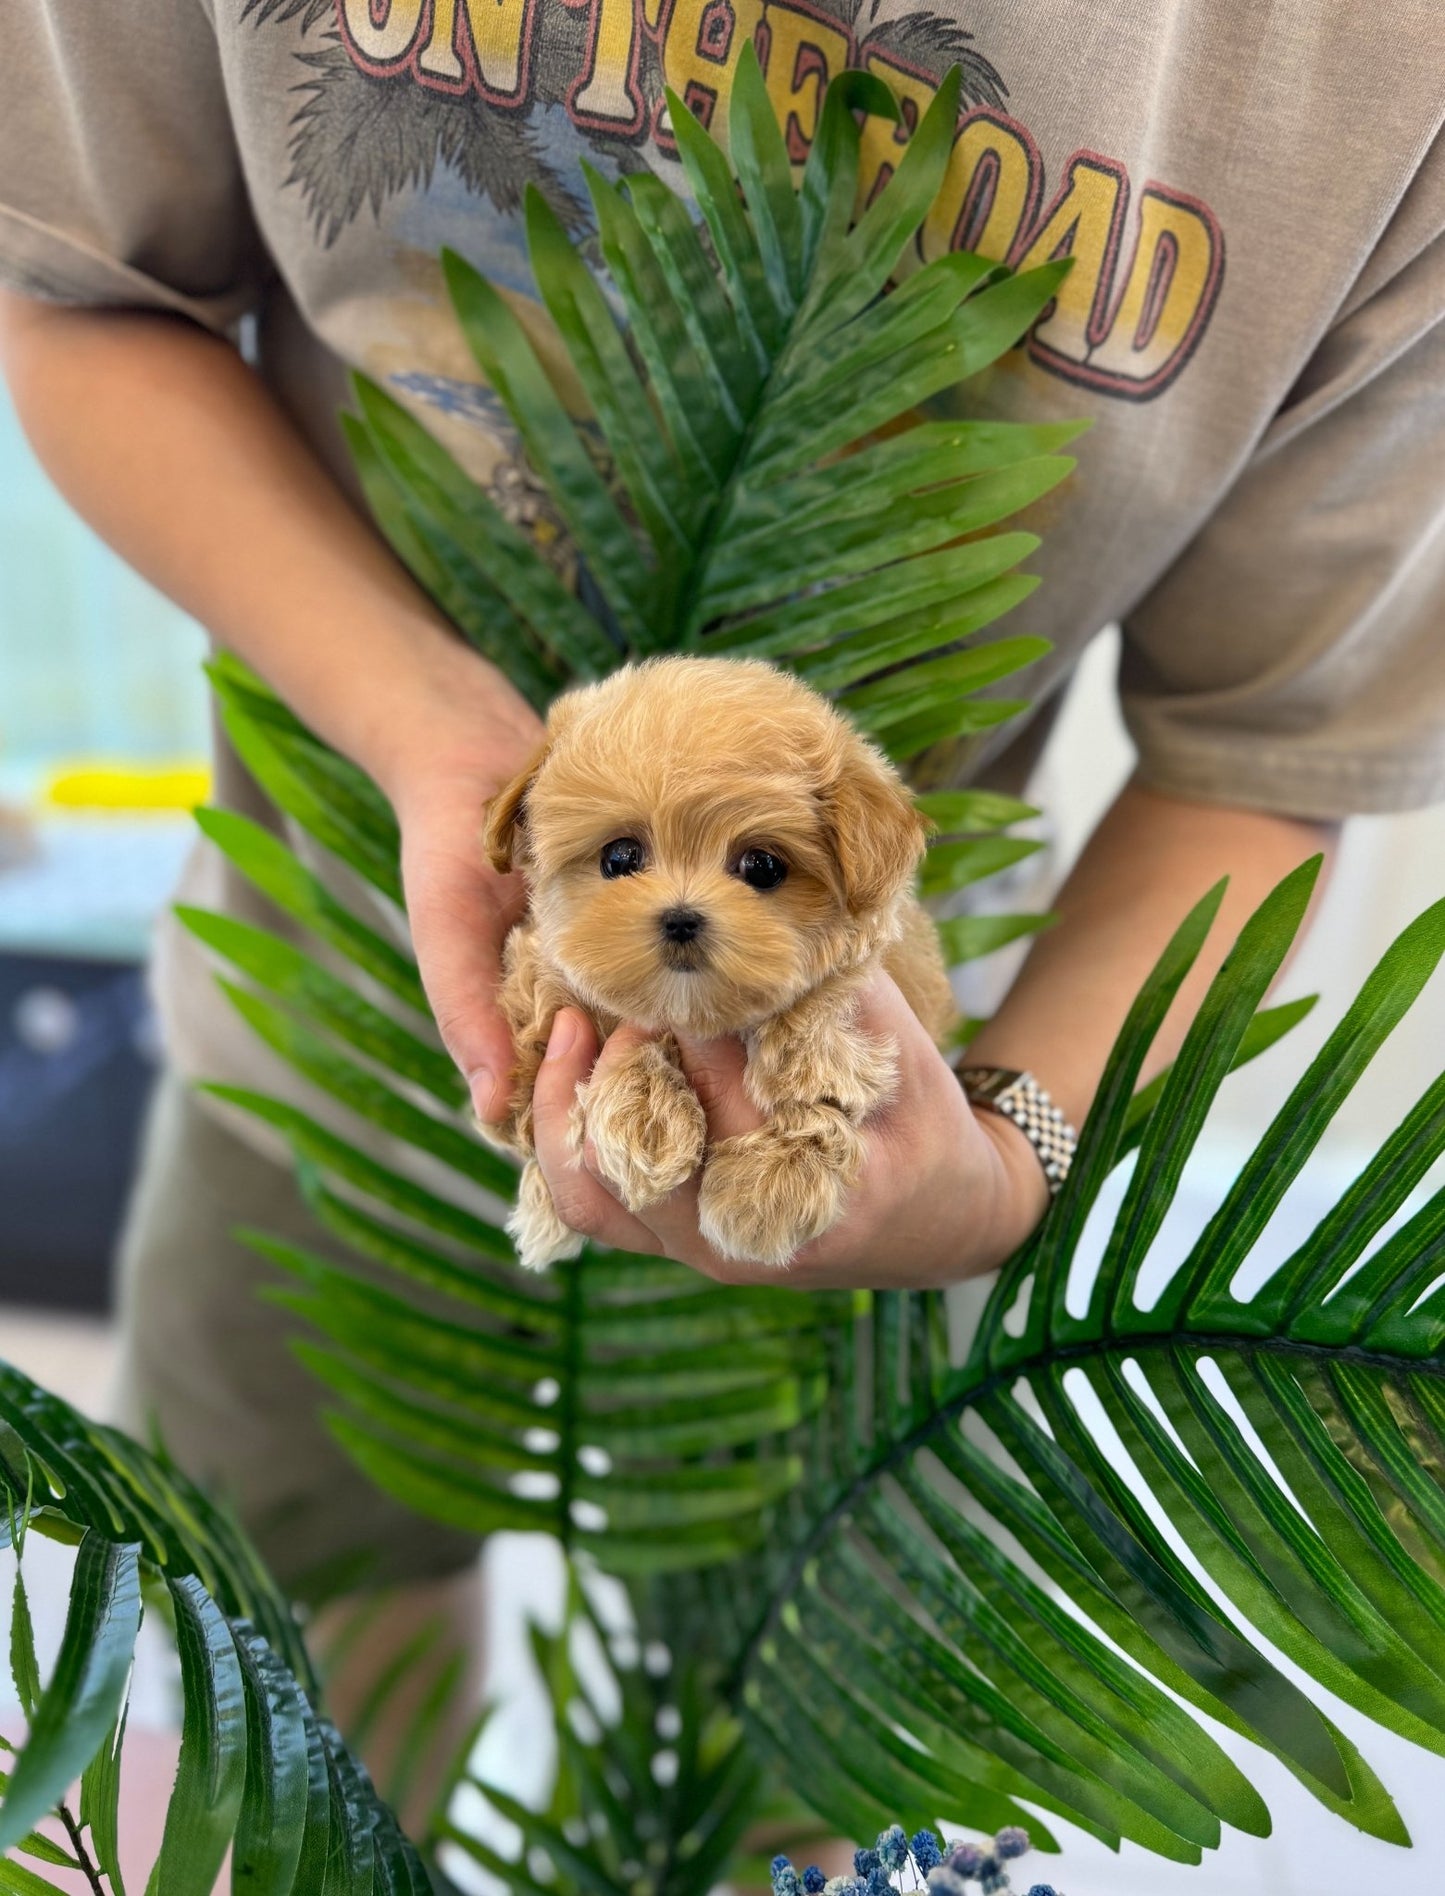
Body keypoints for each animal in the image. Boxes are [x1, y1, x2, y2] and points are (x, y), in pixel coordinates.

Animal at [481, 656, 955, 1274]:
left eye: (762, 866)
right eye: (620, 858)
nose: (682, 918)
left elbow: (827, 1059)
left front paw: (766, 1188)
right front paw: (645, 1119)